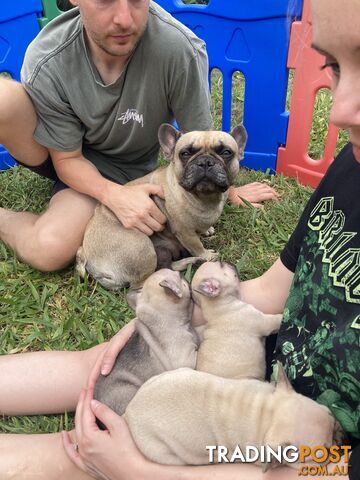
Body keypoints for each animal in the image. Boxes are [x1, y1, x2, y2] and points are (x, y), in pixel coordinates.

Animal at [76, 124, 248, 288]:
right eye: (185, 153)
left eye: (226, 152)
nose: (205, 162)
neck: (205, 197)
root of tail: (85, 254)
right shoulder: (185, 232)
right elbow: (197, 245)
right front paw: (207, 256)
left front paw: (207, 230)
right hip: (142, 248)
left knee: (167, 265)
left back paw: (189, 262)